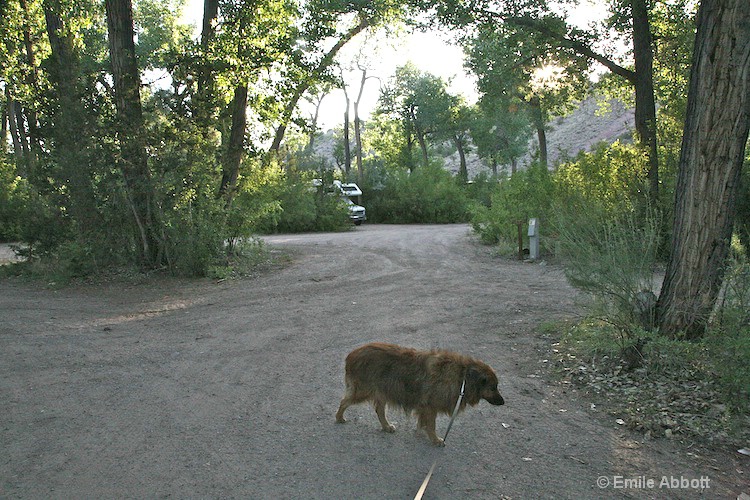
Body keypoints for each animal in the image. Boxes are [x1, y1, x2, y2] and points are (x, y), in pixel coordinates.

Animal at [336, 344, 506, 446]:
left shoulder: (425, 408)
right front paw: (435, 439)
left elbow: (423, 422)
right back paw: (339, 417)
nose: (503, 402)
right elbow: (431, 425)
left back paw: (386, 426)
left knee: (379, 410)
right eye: (493, 387)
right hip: (362, 391)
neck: (463, 376)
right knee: (344, 401)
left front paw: (420, 431)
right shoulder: (430, 407)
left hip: (383, 391)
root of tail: (351, 355)